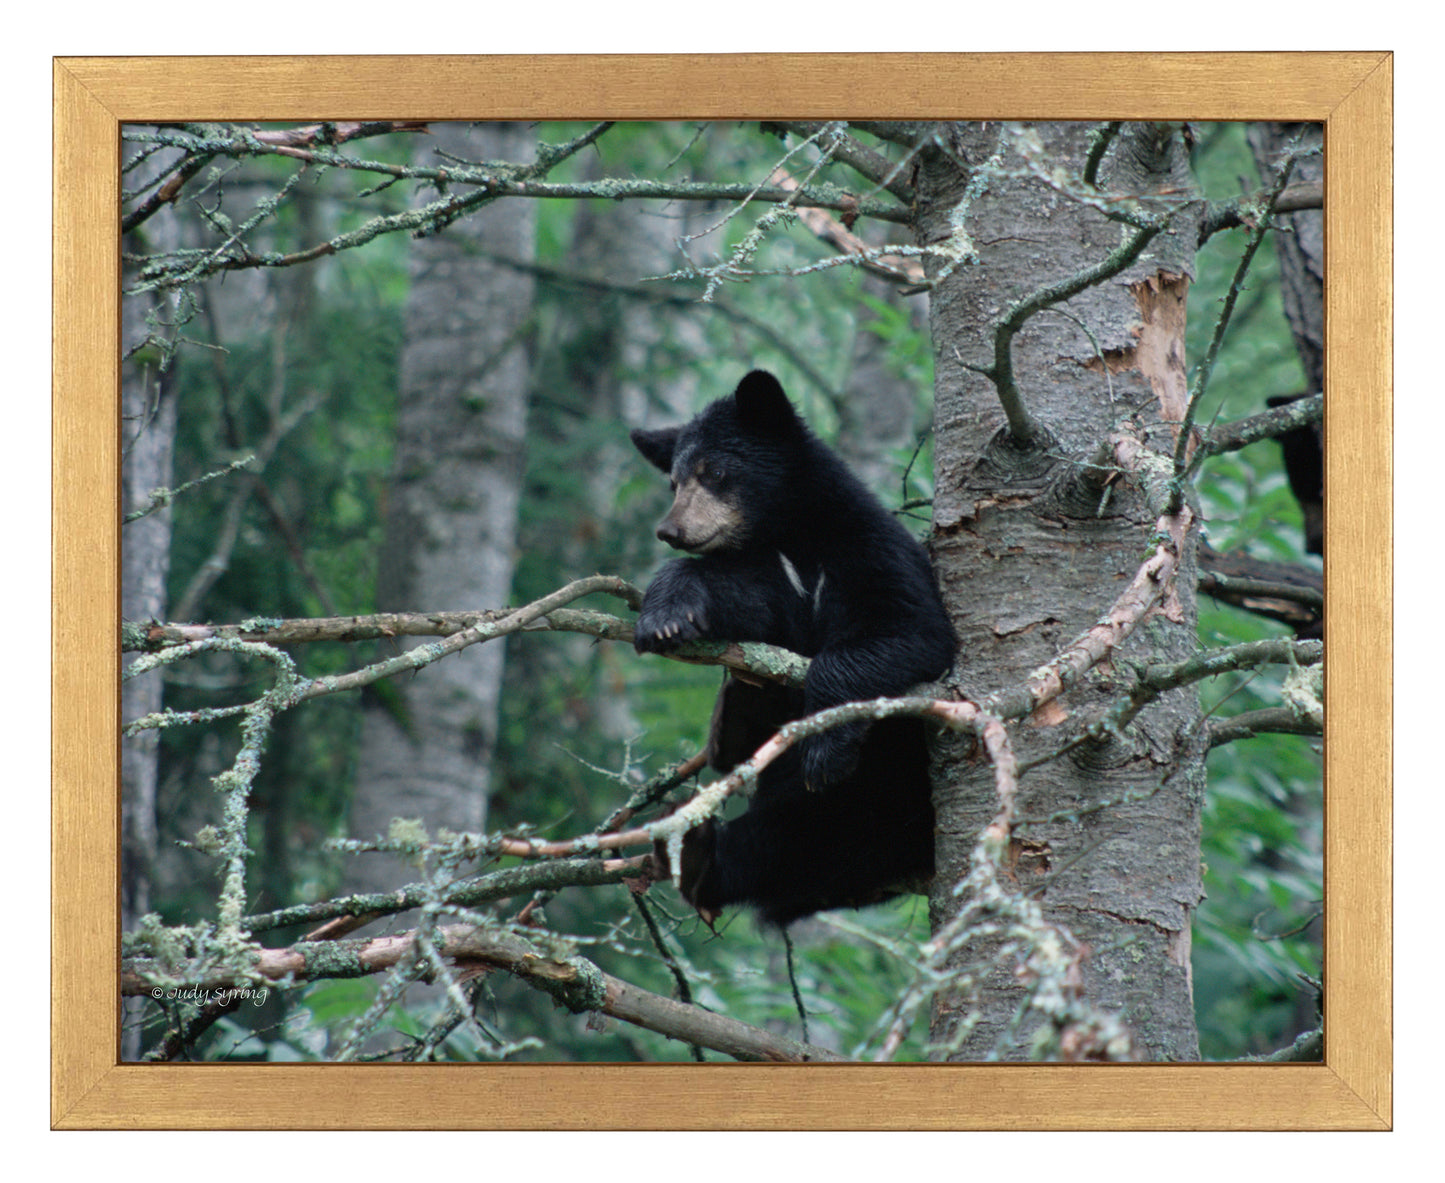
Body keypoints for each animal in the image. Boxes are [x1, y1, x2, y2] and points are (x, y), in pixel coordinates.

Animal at [630, 369, 957, 927]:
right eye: (673, 481)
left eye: (714, 471)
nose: (670, 530)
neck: (790, 531)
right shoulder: (772, 573)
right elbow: (743, 599)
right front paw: (668, 616)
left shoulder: (865, 548)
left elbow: (909, 630)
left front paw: (825, 746)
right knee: (783, 844)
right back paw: (696, 849)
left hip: (887, 786)